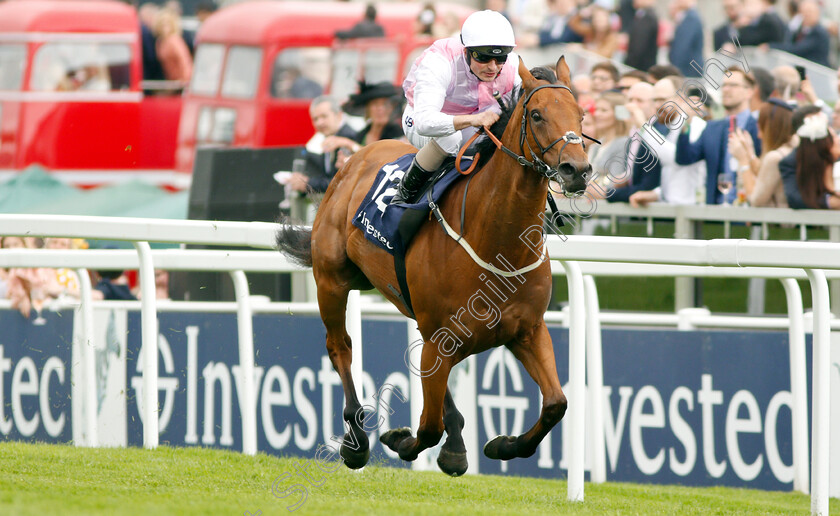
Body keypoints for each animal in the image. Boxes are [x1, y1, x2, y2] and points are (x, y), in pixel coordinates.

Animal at [276, 55, 592, 476]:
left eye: (581, 115)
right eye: (537, 114)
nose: (578, 170)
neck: (497, 243)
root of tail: (353, 158)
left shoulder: (527, 330)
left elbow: (557, 403)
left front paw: (502, 445)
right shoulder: (443, 339)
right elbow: (426, 428)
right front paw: (397, 439)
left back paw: (455, 444)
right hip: (332, 280)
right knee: (340, 347)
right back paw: (356, 440)